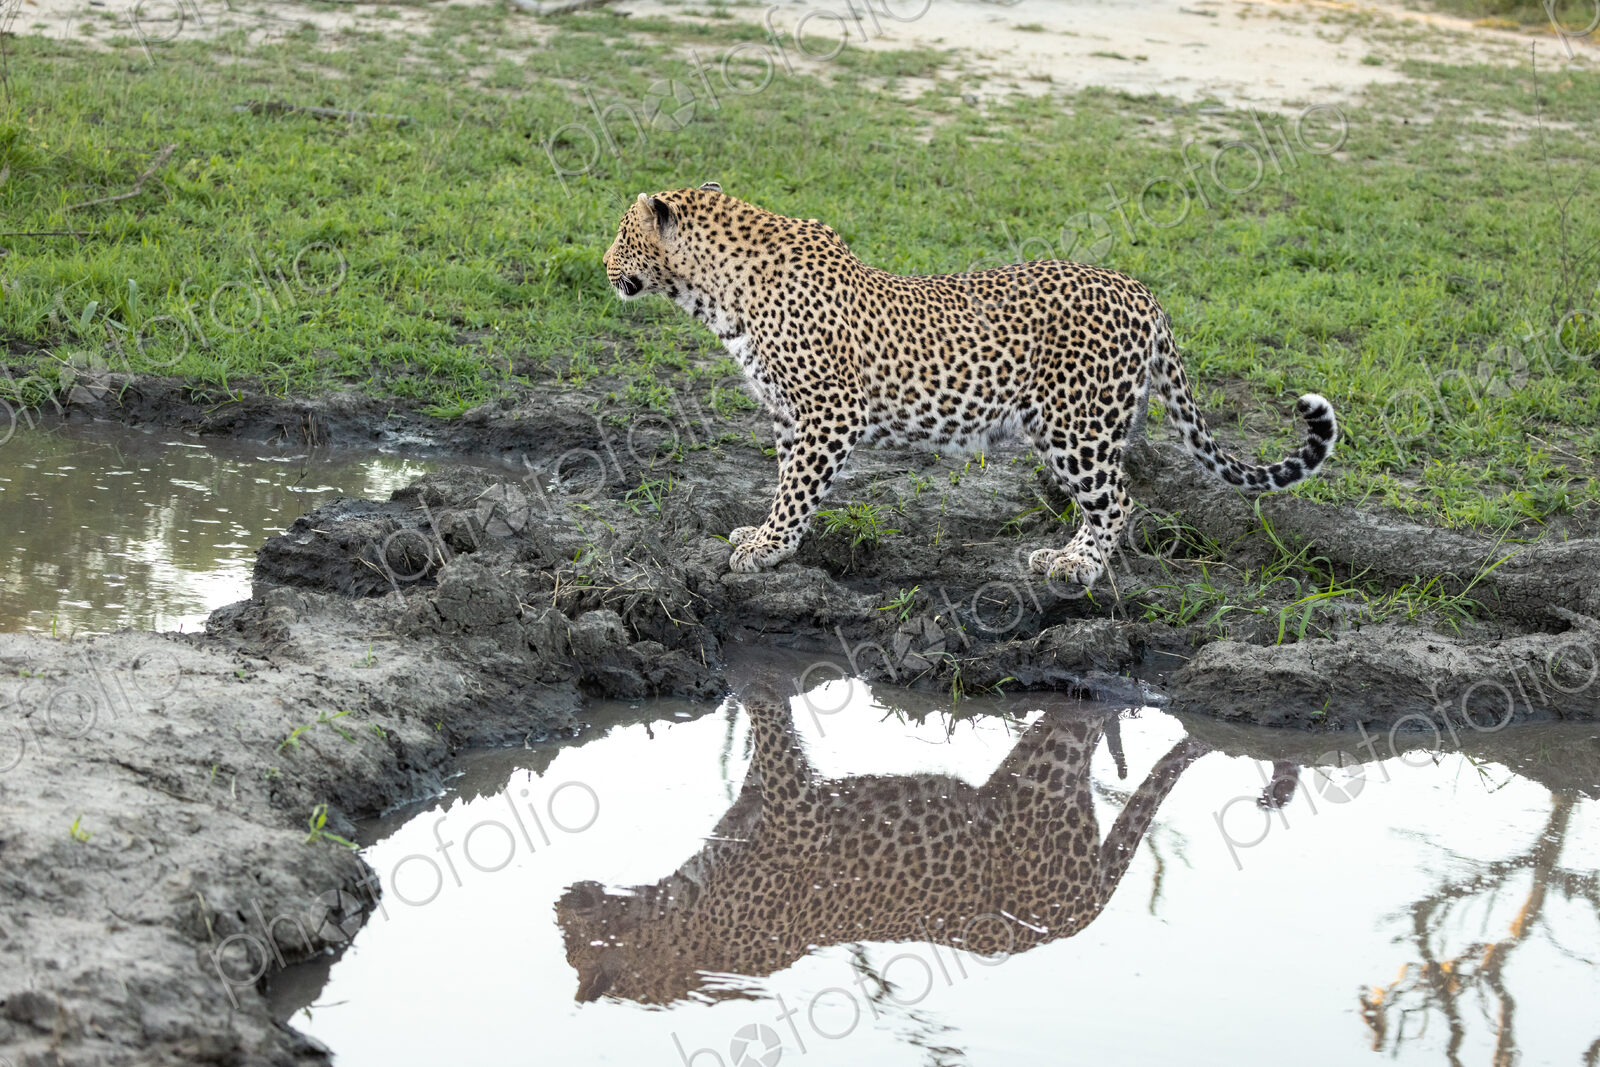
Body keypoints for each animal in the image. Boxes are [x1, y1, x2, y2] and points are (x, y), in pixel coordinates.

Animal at [557, 693, 1208, 1004]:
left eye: (568, 943)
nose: (561, 902)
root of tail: (1073, 919)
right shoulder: (756, 809)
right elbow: (760, 760)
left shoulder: (798, 813)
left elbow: (771, 731)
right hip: (1026, 775)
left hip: (1045, 786)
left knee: (1087, 719)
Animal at [603, 183, 1338, 585]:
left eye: (621, 233)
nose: (604, 264)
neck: (714, 293)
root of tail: (1142, 291)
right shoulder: (791, 416)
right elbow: (788, 482)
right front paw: (764, 535)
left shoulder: (830, 413)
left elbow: (797, 489)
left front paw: (767, 547)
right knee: (1108, 499)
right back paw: (1063, 554)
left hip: (1077, 427)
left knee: (1118, 501)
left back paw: (1078, 566)